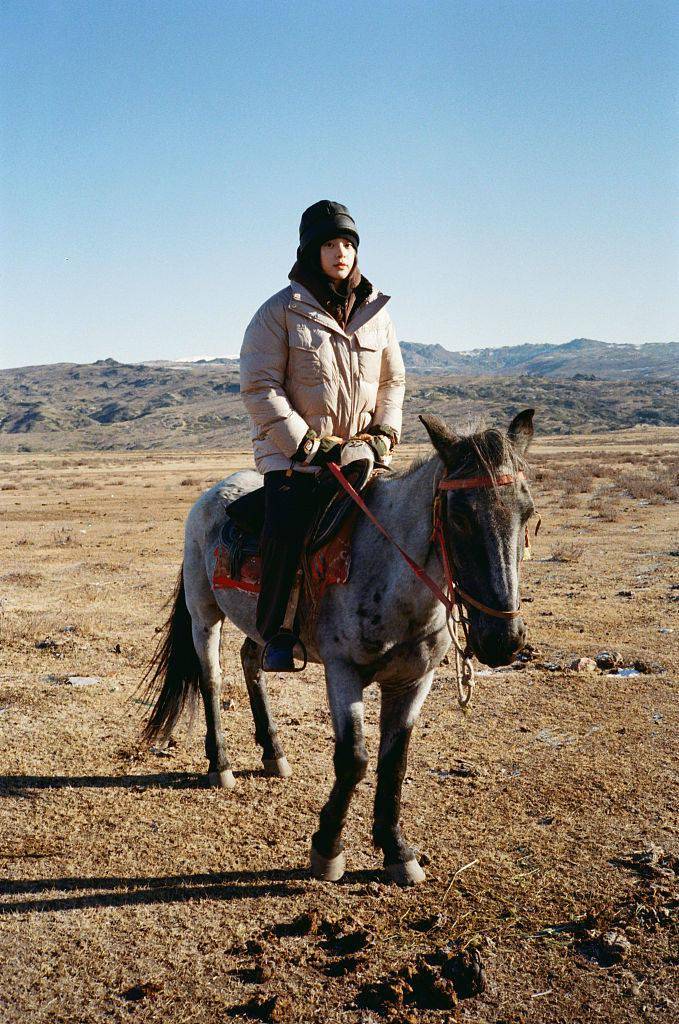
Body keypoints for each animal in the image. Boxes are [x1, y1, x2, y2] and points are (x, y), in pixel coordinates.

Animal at [143, 411, 536, 884]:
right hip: (204, 614)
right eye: (459, 515)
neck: (389, 571)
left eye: (528, 512)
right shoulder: (342, 671)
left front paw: (396, 849)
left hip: (264, 621)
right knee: (212, 679)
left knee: (251, 661)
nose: (503, 639)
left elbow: (394, 761)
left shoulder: (414, 680)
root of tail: (211, 495)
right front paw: (327, 847)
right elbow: (354, 760)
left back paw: (273, 752)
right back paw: (220, 764)